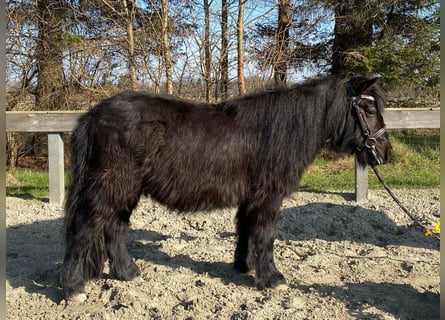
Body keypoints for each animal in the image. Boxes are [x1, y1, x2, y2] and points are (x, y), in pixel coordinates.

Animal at [60, 74, 390, 300]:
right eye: (369, 110)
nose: (385, 153)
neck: (277, 132)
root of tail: (92, 115)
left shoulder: (251, 197)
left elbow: (245, 230)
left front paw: (244, 266)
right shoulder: (268, 198)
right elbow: (265, 236)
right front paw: (272, 278)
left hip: (126, 189)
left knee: (114, 228)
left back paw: (127, 274)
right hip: (110, 186)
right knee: (86, 228)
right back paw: (74, 287)